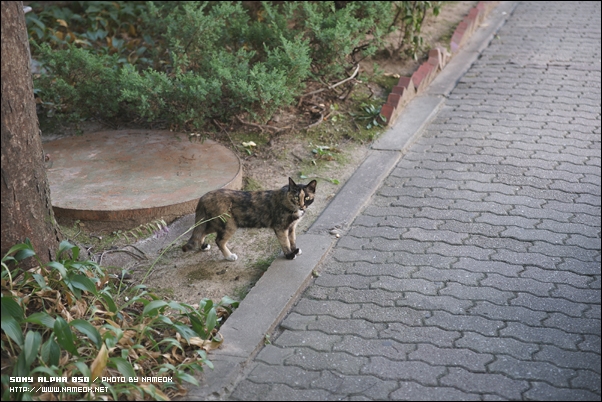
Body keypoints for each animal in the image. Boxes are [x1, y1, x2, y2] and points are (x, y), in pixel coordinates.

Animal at [182, 177, 314, 260]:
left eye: (307, 198)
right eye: (296, 197)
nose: (302, 206)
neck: (287, 199)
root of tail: (204, 196)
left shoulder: (292, 227)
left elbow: (292, 240)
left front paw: (295, 250)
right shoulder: (280, 228)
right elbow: (285, 242)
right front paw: (289, 255)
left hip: (216, 222)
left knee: (202, 231)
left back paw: (203, 246)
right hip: (229, 224)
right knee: (218, 240)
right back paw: (229, 256)